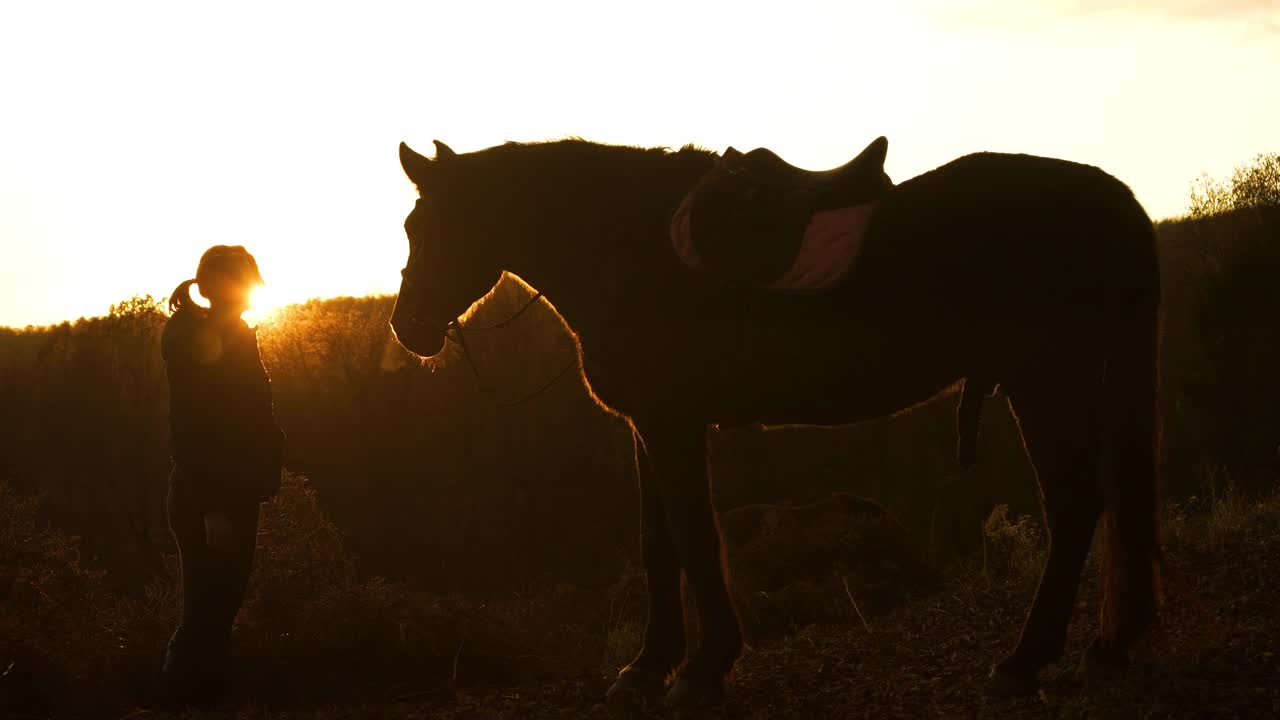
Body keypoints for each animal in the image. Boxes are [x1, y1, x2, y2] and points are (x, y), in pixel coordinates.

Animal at [386, 135, 1162, 707]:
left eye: (438, 226)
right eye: (411, 226)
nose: (407, 328)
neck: (628, 248)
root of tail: (1112, 198)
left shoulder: (673, 426)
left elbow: (696, 540)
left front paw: (702, 670)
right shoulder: (649, 424)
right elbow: (658, 544)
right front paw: (649, 665)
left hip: (1045, 386)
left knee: (1074, 508)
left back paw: (1023, 662)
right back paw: (1103, 648)